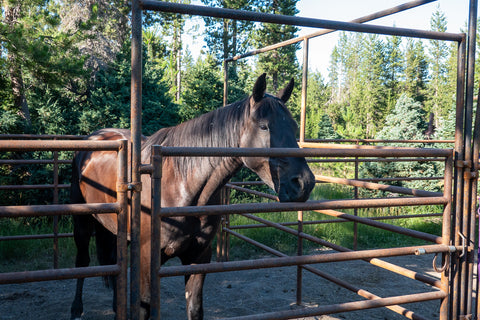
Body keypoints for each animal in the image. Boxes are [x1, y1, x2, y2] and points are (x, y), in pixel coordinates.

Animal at [68, 73, 316, 320]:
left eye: (294, 126)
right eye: (264, 127)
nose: (304, 183)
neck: (182, 185)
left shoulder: (199, 257)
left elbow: (194, 308)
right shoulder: (147, 261)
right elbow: (144, 307)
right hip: (81, 223)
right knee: (82, 261)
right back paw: (76, 309)